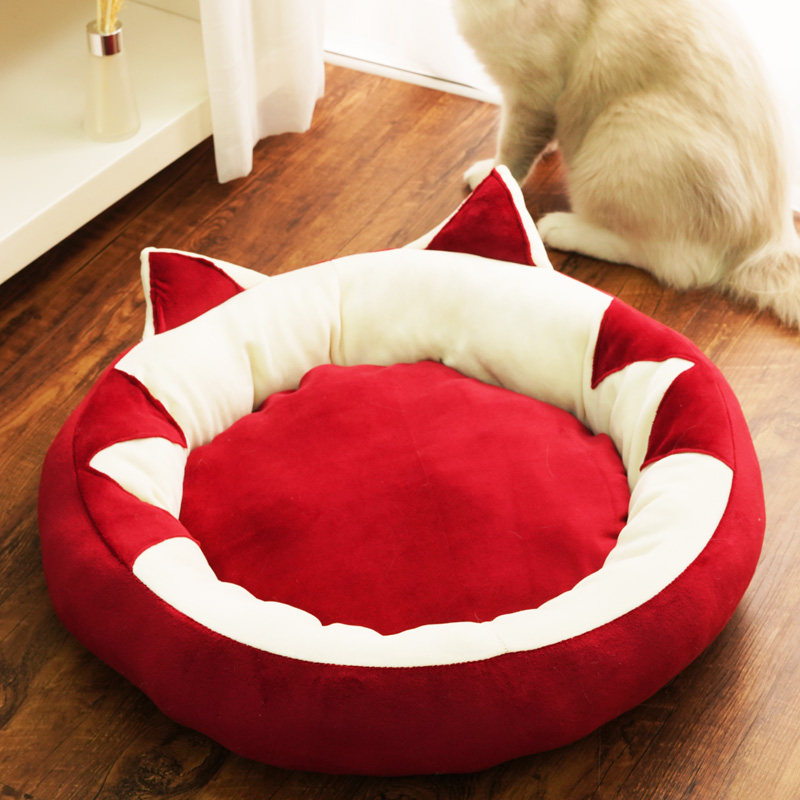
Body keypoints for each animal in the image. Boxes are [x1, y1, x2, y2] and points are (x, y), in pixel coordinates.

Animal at [453, 0, 800, 327]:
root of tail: (773, 236)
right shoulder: (535, 101)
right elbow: (538, 138)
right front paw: (547, 150)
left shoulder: (532, 94)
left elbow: (511, 153)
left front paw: (491, 180)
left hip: (620, 133)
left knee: (674, 265)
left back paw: (559, 228)